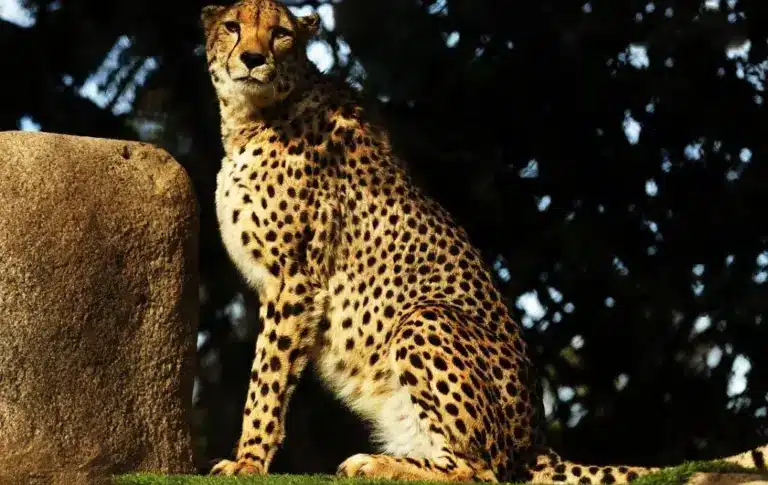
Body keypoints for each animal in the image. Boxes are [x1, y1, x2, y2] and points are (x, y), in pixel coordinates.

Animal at [200, 0, 768, 482]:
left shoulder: (294, 281)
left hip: (425, 318)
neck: (255, 115)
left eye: (280, 34)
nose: (252, 58)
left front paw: (247, 462)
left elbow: (267, 379)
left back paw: (379, 465)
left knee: (481, 471)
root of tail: (535, 441)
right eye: (232, 26)